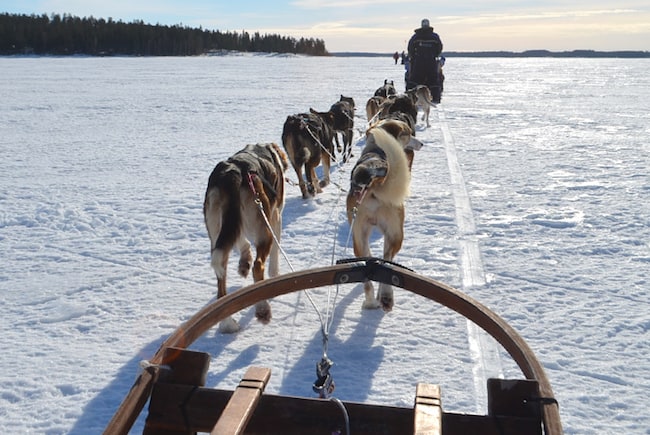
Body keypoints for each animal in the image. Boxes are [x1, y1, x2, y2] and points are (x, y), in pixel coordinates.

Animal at [200, 143, 286, 334]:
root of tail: (232, 174)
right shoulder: (275, 217)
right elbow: (275, 254)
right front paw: (275, 276)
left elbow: (241, 241)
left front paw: (243, 262)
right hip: (264, 229)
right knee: (258, 267)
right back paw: (263, 309)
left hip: (216, 231)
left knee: (221, 281)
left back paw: (227, 323)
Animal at [344, 124, 410, 312]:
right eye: (408, 133)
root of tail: (374, 181)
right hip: (396, 234)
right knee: (386, 261)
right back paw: (386, 297)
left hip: (358, 237)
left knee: (368, 272)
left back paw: (371, 302)